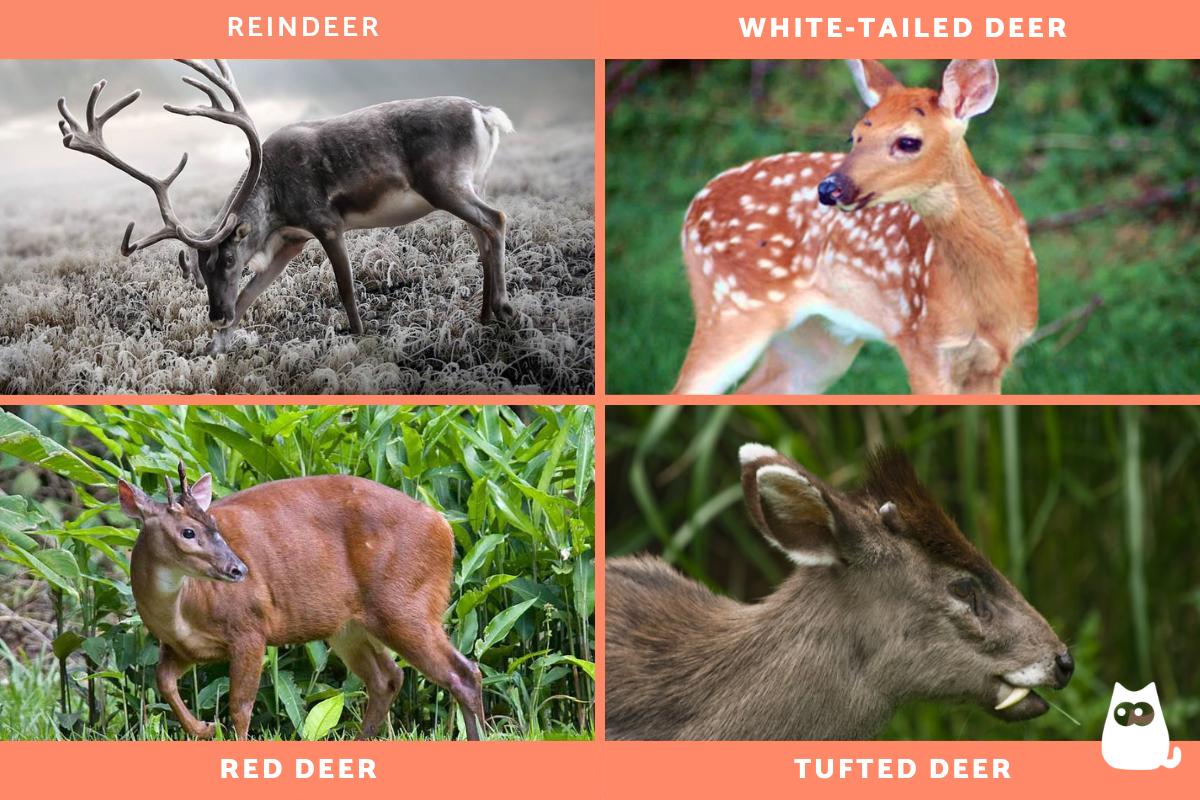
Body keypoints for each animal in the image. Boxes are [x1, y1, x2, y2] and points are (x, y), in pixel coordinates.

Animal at [58, 59, 514, 355]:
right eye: (201, 269)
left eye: (228, 260)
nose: (215, 315)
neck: (275, 205)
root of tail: (486, 114)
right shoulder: (292, 240)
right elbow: (248, 297)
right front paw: (215, 351)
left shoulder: (325, 222)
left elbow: (346, 288)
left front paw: (360, 336)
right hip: (468, 182)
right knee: (482, 235)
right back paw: (484, 316)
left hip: (444, 182)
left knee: (496, 219)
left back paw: (503, 308)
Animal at [117, 463, 485, 740]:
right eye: (188, 532)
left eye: (214, 524)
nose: (238, 569)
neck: (182, 610)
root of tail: (444, 526)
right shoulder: (181, 647)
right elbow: (163, 681)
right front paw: (204, 728)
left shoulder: (249, 627)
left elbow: (240, 706)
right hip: (348, 626)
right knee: (387, 677)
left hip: (406, 605)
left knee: (463, 672)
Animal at [674, 59, 1037, 395]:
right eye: (854, 136)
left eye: (908, 142)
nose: (828, 188)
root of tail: (694, 206)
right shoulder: (922, 344)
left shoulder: (992, 362)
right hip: (731, 305)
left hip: (817, 341)